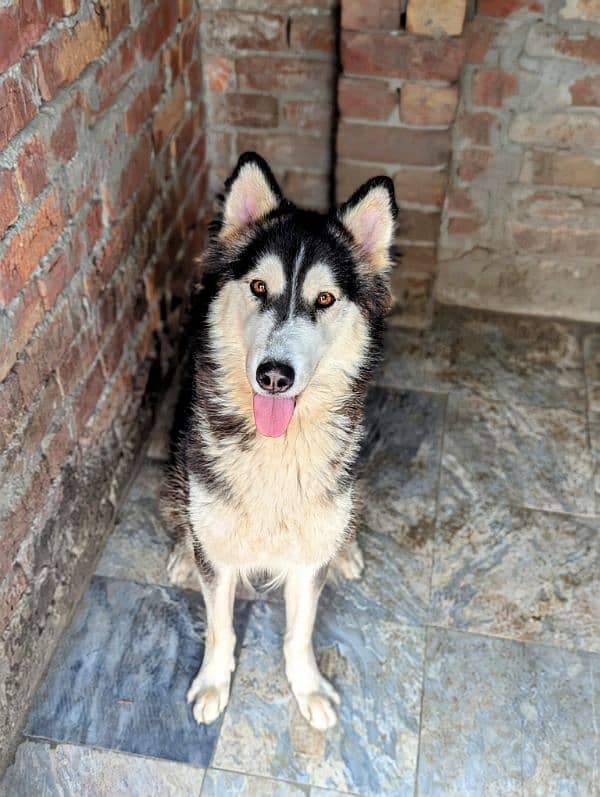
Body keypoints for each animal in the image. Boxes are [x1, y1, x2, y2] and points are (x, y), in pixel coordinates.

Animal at [163, 152, 398, 732]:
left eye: (325, 299)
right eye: (258, 288)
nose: (274, 375)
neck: (277, 448)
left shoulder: (307, 564)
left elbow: (300, 633)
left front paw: (308, 688)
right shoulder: (220, 559)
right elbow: (220, 626)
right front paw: (212, 683)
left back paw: (347, 549)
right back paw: (181, 550)